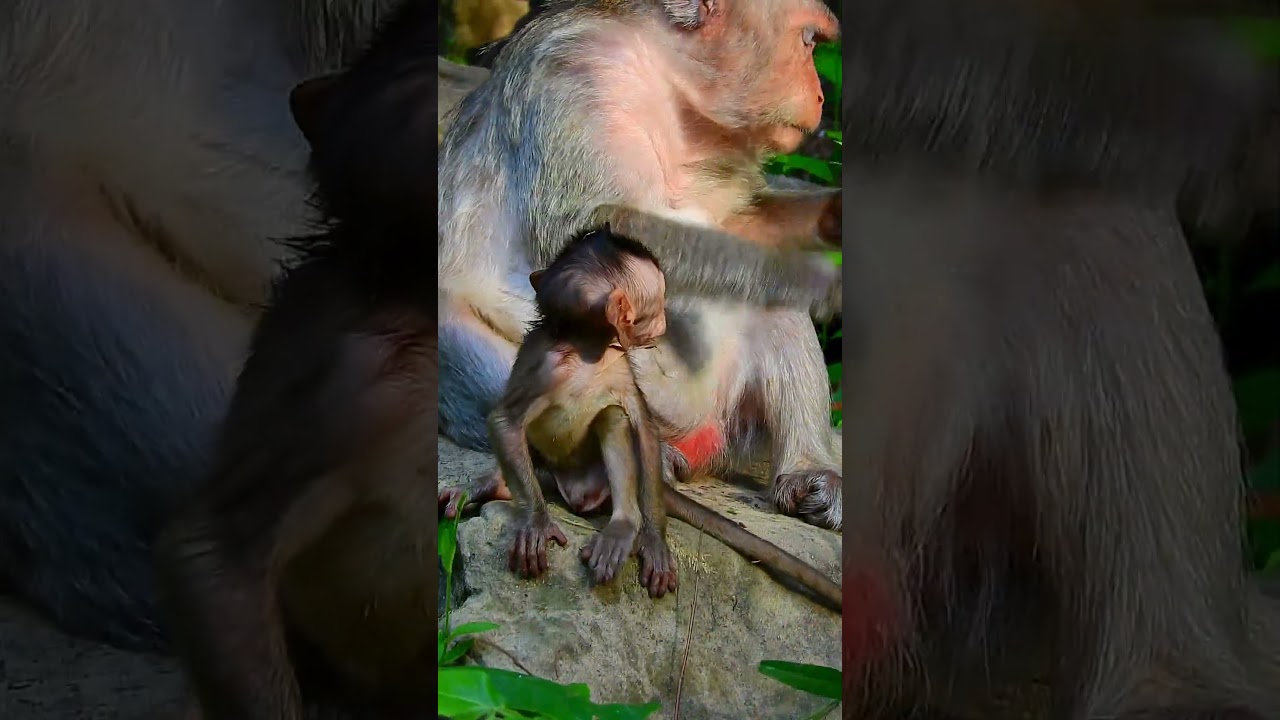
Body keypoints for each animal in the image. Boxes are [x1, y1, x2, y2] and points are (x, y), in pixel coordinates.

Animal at [437, 0, 849, 538]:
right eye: (808, 41)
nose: (820, 94)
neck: (668, 80)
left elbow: (738, 222)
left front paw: (833, 216)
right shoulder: (580, 74)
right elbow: (597, 226)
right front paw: (817, 277)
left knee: (767, 304)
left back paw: (807, 473)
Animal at [442, 225, 842, 611]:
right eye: (656, 303)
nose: (665, 321)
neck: (585, 350)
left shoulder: (621, 365)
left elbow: (641, 427)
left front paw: (653, 539)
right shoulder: (546, 368)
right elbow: (504, 421)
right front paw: (535, 522)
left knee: (615, 421)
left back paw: (624, 525)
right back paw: (493, 487)